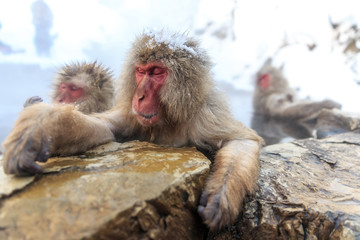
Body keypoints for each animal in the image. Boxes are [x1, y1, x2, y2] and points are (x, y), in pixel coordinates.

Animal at [1, 30, 262, 231]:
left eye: (156, 72)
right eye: (140, 71)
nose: (140, 96)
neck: (168, 121)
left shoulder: (206, 114)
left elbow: (242, 139)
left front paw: (222, 196)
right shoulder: (130, 116)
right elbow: (102, 128)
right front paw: (39, 125)